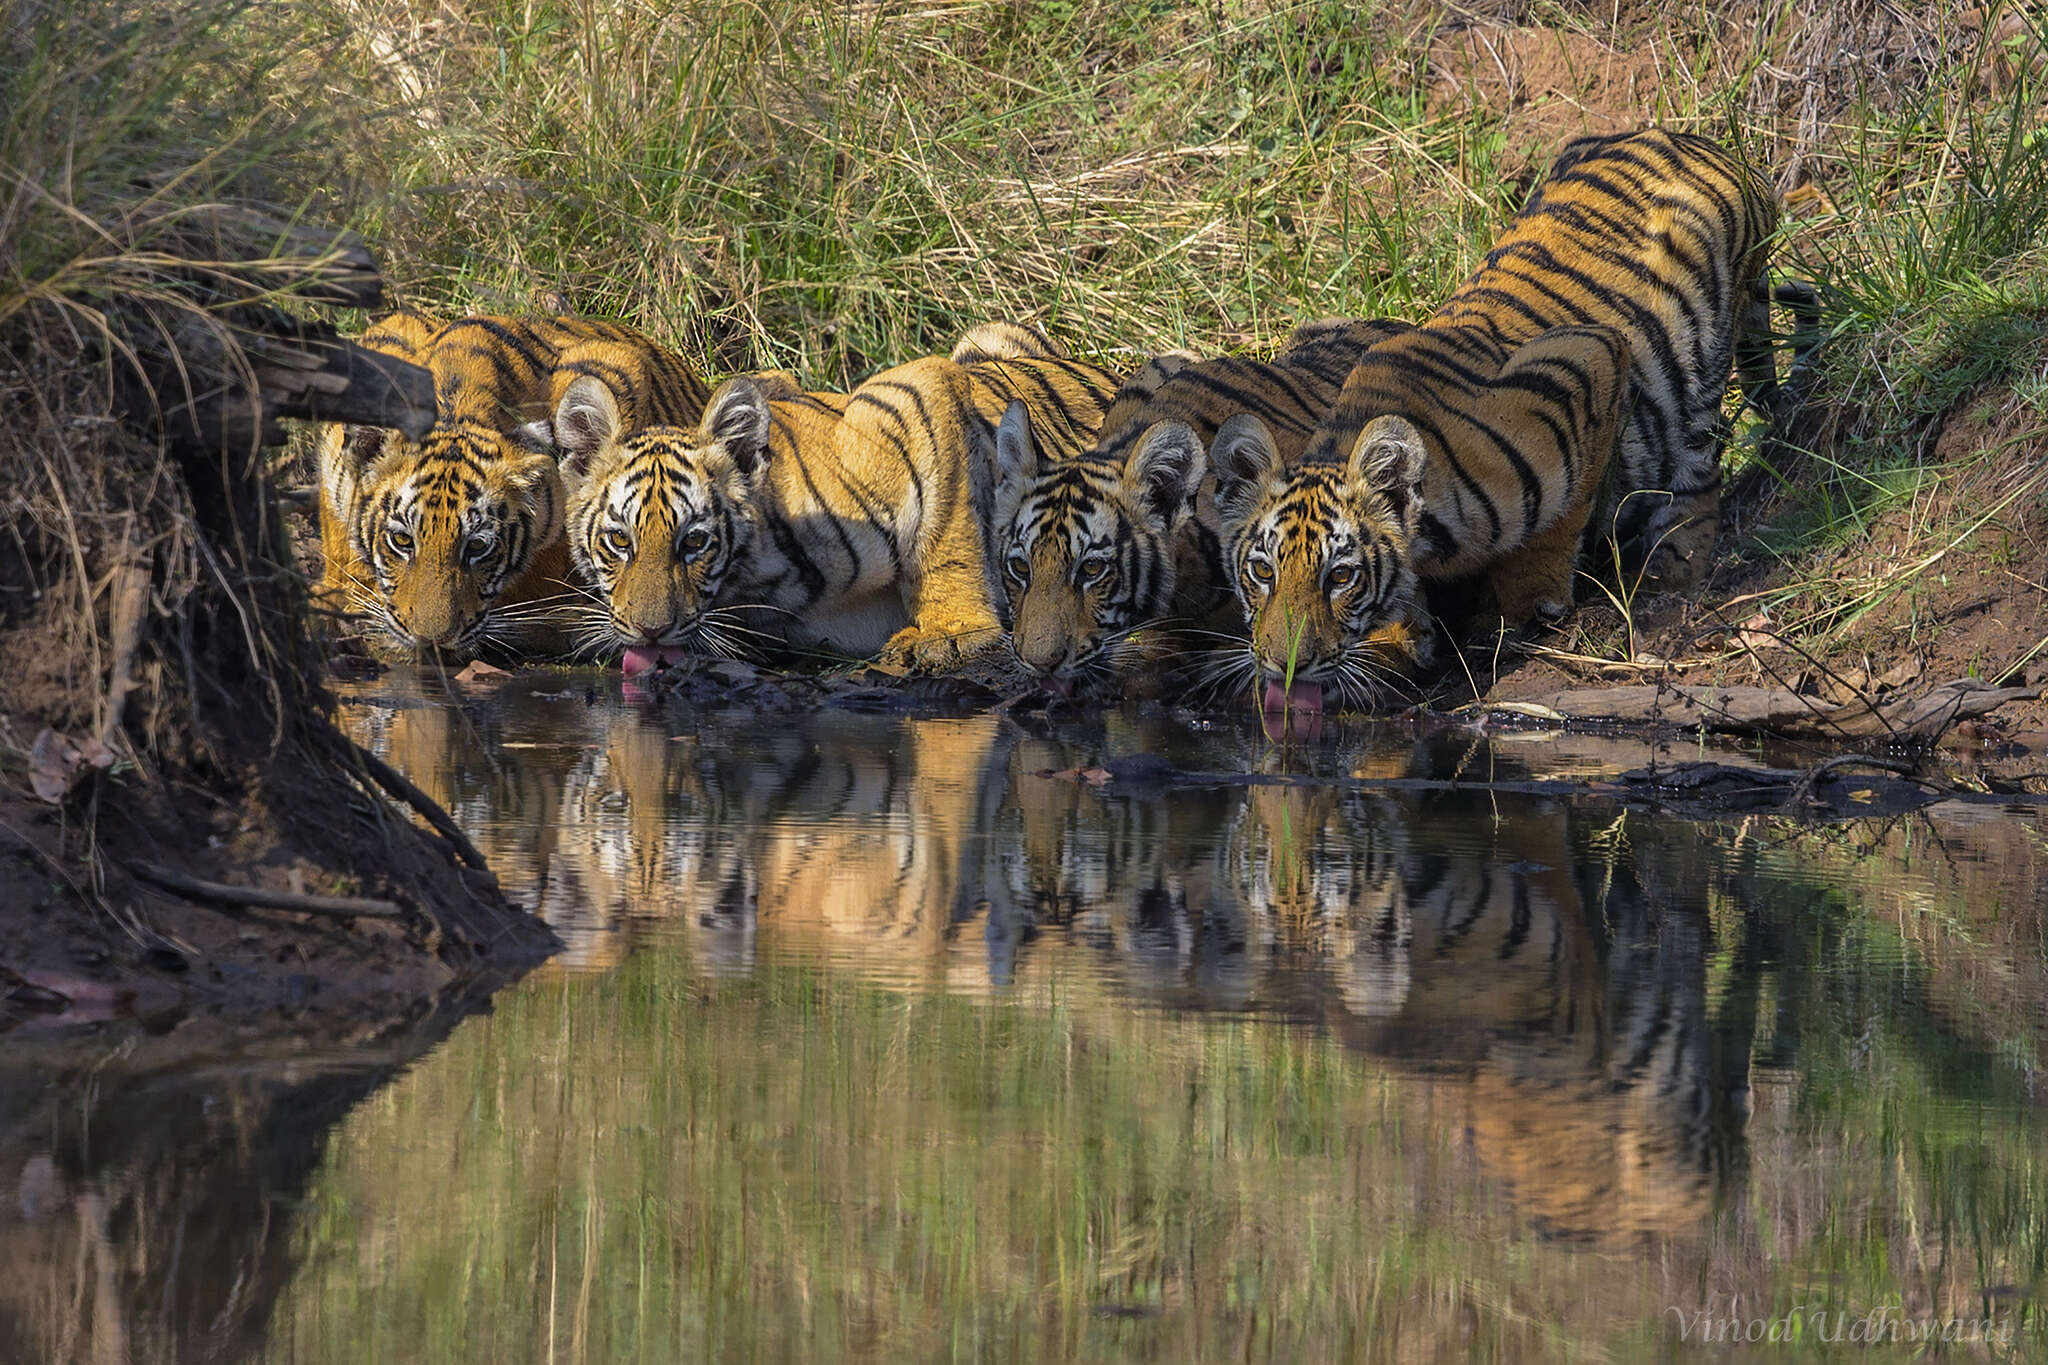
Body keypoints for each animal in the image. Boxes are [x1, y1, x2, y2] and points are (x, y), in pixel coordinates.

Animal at [557, 321, 1122, 671]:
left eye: (694, 542)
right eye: (619, 541)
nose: (650, 631)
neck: (758, 585)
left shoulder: (915, 389)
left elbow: (948, 535)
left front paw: (953, 633)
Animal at [1212, 127, 1794, 720]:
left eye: (1340, 576)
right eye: (1263, 572)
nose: (1285, 666)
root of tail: (1705, 142)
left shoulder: (1589, 358)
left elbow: (1561, 518)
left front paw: (1533, 600)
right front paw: (1404, 639)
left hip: (1705, 359)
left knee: (1699, 467)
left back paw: (1675, 560)